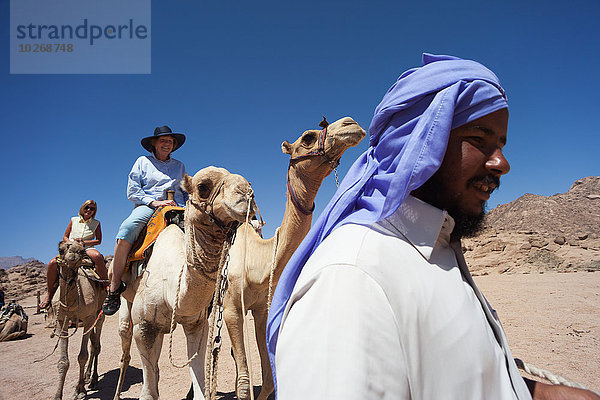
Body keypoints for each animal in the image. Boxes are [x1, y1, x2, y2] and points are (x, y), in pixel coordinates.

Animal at [50, 241, 106, 400]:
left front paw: (80, 389)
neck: (71, 302)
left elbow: (82, 356)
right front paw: (58, 395)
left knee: (96, 346)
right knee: (93, 343)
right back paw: (87, 377)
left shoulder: (89, 318)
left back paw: (93, 380)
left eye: (81, 251)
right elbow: (63, 361)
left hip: (98, 314)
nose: (73, 254)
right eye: (60, 249)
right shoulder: (61, 321)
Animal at [112, 166, 255, 400]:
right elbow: (147, 393)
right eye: (203, 187)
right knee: (125, 341)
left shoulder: (196, 323)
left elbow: (199, 386)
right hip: (126, 300)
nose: (247, 193)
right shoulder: (144, 326)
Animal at [223, 116, 366, 400]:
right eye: (308, 137)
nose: (351, 123)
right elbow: (244, 384)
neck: (257, 262)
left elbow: (268, 378)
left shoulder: (262, 308)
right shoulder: (231, 308)